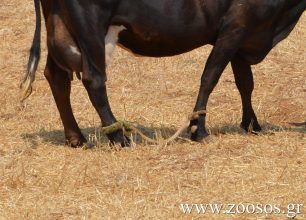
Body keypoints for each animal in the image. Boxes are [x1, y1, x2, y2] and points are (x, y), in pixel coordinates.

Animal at [20, 0, 304, 148]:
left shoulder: (245, 35)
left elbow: (245, 82)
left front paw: (252, 125)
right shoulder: (235, 26)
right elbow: (209, 78)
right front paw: (198, 129)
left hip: (60, 25)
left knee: (57, 77)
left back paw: (76, 137)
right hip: (89, 27)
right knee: (94, 79)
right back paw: (118, 136)